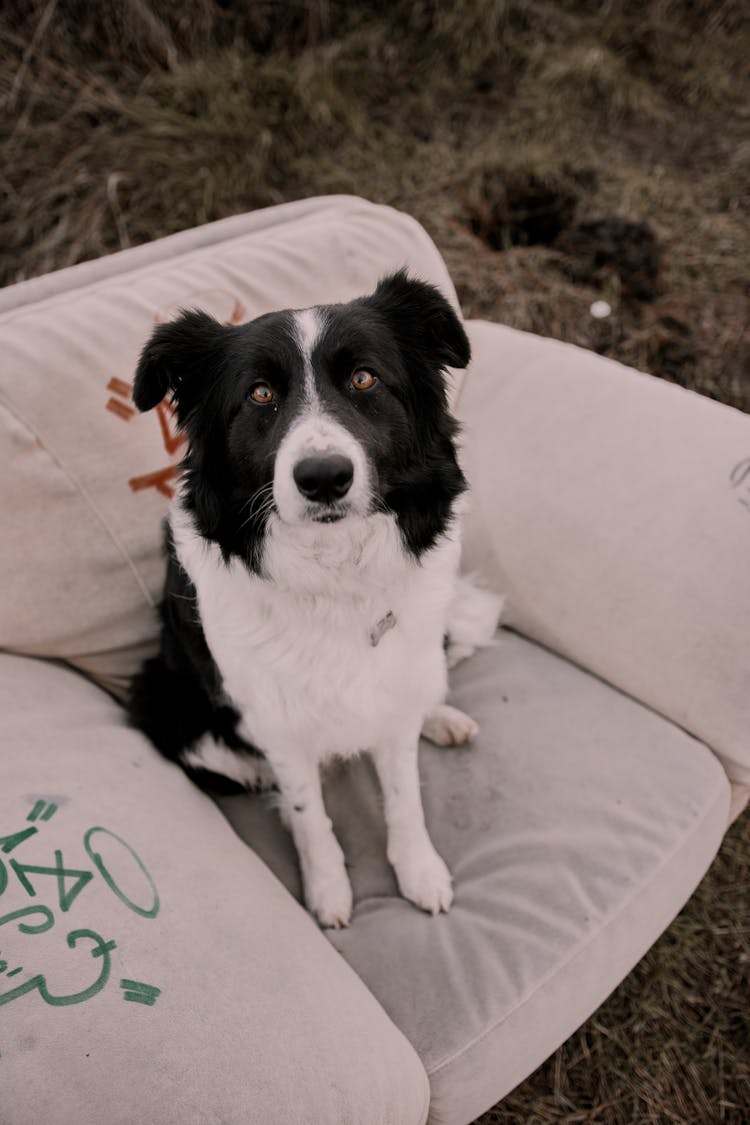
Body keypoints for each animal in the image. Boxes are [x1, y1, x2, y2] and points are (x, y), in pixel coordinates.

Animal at [129, 270, 501, 922]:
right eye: (259, 394)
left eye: (364, 379)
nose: (323, 477)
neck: (334, 576)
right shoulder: (274, 722)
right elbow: (309, 814)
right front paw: (328, 891)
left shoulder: (390, 692)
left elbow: (404, 794)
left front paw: (419, 870)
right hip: (166, 702)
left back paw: (442, 717)